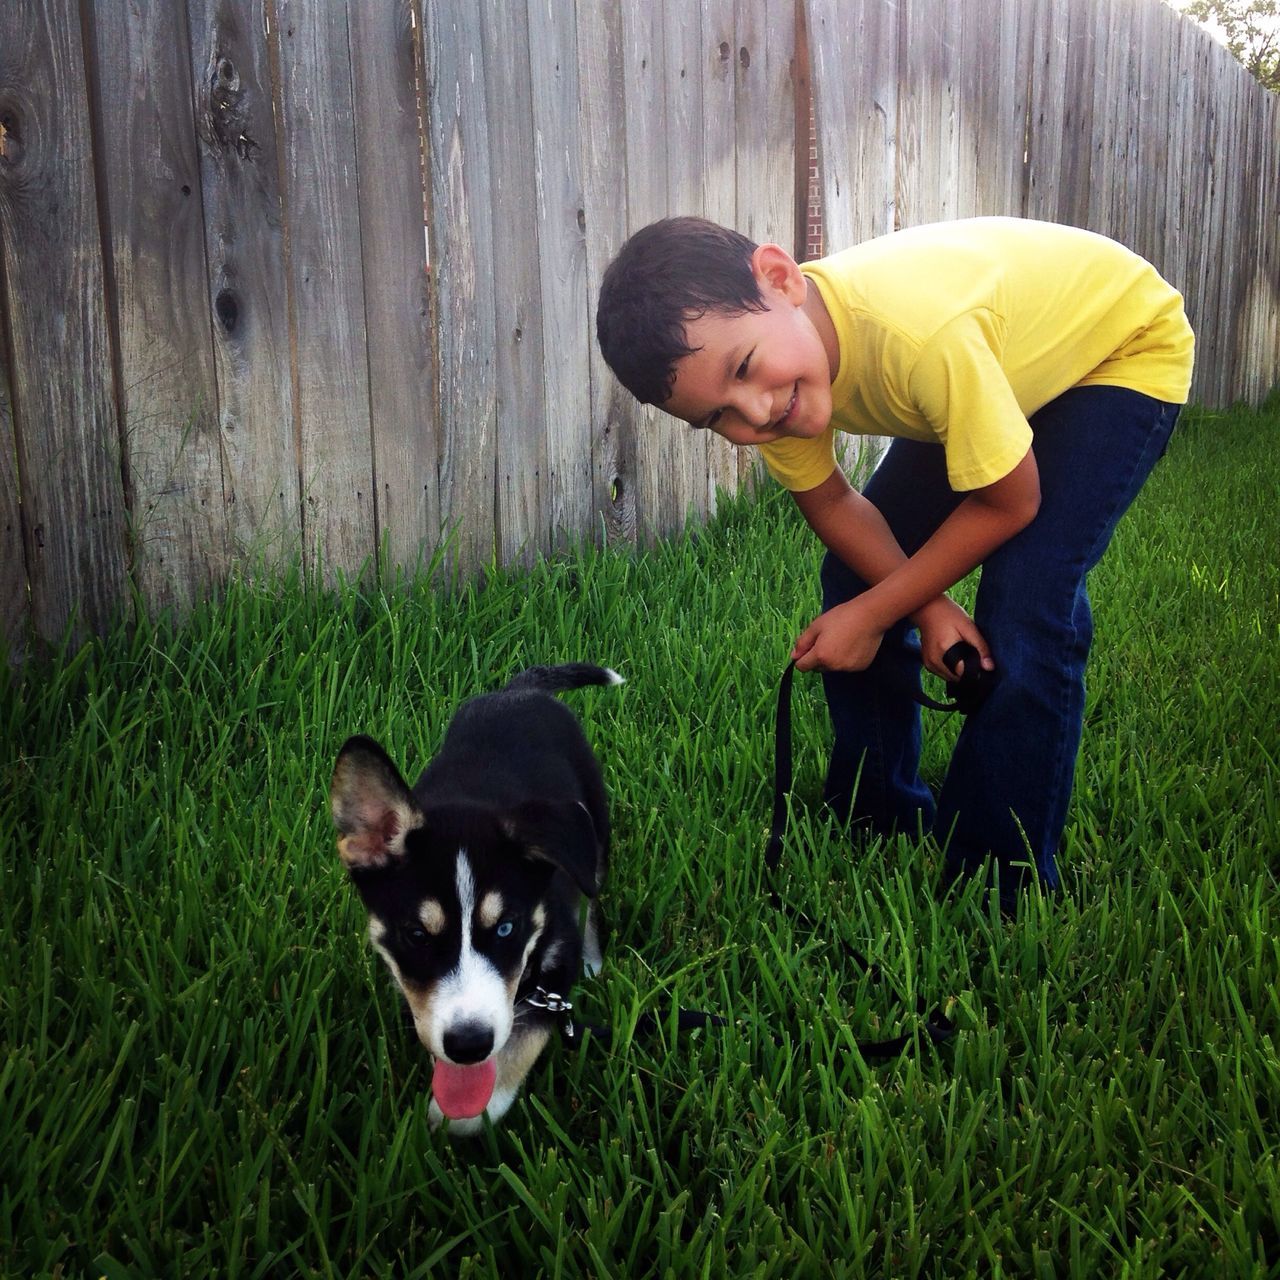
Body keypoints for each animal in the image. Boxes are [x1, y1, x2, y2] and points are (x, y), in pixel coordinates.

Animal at [332, 665, 616, 1136]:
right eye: (416, 935)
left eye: (506, 928)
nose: (469, 1045)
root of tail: (519, 691)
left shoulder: (555, 969)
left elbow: (520, 1046)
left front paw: (458, 1116)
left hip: (592, 828)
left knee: (592, 893)